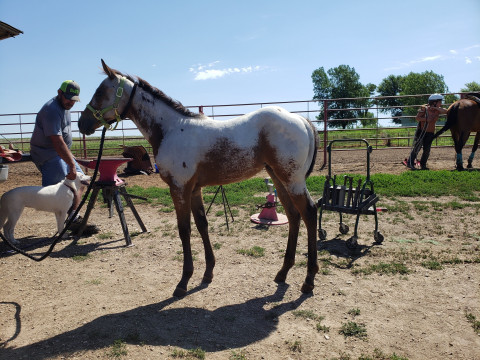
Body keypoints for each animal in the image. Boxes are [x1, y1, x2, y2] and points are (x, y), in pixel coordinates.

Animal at [78, 59, 318, 298]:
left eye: (100, 92)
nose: (82, 123)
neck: (170, 130)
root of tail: (301, 119)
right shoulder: (194, 189)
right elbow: (202, 224)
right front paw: (208, 273)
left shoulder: (179, 188)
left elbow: (184, 229)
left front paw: (183, 281)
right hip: (278, 178)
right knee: (293, 215)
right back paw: (283, 272)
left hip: (292, 180)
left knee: (309, 212)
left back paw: (308, 280)